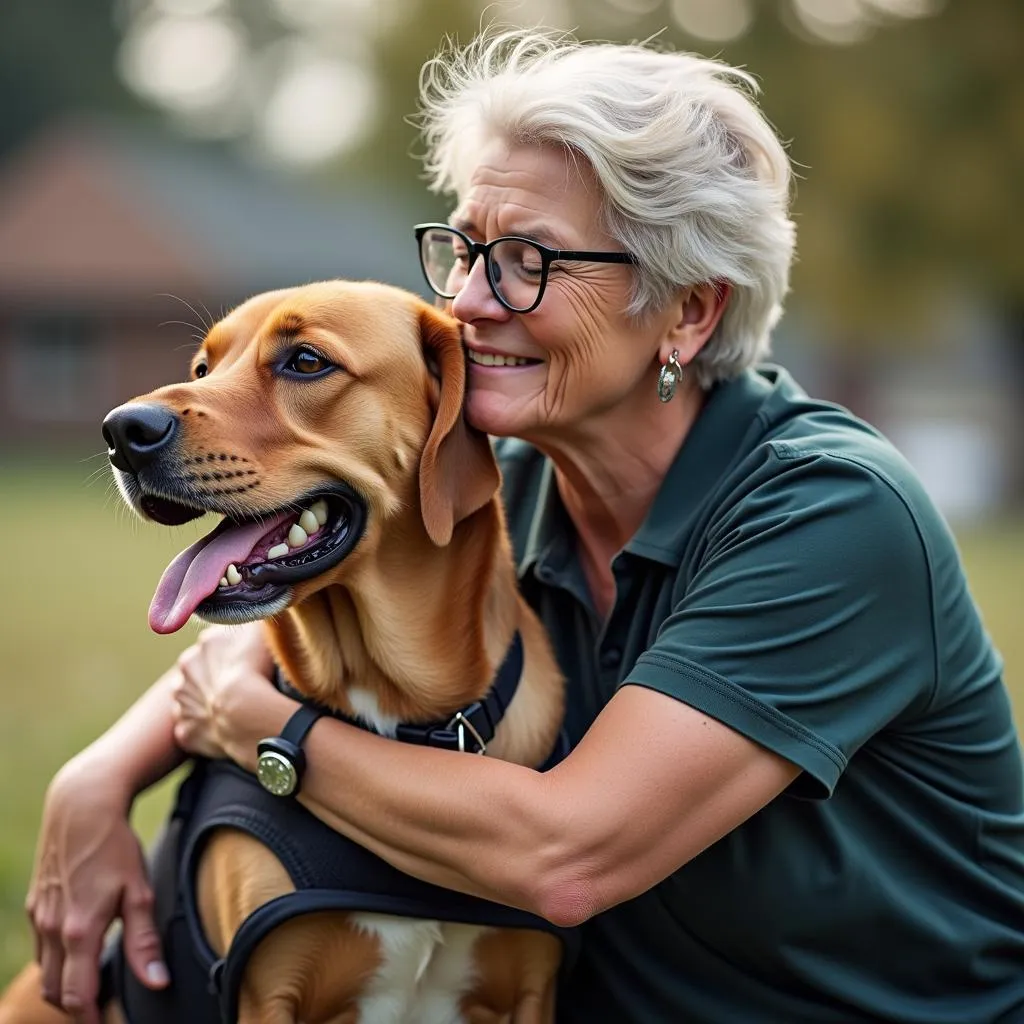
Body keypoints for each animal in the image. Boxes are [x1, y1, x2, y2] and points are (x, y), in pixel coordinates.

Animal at [0, 282, 569, 1024]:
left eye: (305, 361)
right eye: (204, 367)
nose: (122, 431)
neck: (395, 709)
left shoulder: (530, 991)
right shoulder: (267, 993)